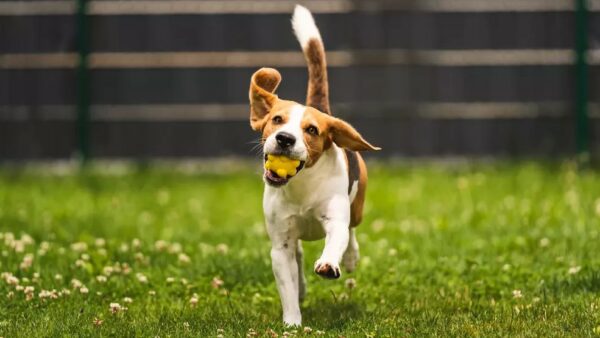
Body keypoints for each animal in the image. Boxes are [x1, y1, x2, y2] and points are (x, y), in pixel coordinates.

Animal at [248, 3, 380, 324]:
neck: (301, 186)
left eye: (311, 130)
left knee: (352, 231)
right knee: (298, 256)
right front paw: (292, 323)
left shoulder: (335, 220)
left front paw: (330, 264)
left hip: (357, 207)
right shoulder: (280, 245)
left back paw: (350, 257)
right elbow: (287, 283)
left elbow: (336, 239)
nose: (284, 139)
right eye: (276, 119)